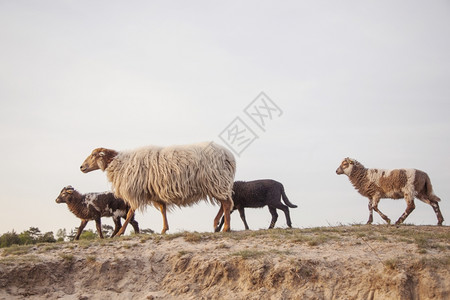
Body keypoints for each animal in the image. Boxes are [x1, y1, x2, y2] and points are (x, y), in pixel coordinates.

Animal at [79, 142, 237, 234]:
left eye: (94, 155)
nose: (81, 167)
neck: (119, 162)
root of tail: (229, 156)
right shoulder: (154, 192)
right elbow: (162, 210)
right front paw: (164, 229)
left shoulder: (136, 191)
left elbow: (130, 213)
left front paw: (120, 233)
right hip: (217, 184)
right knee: (225, 204)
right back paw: (217, 224)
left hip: (217, 181)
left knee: (226, 203)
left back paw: (226, 228)